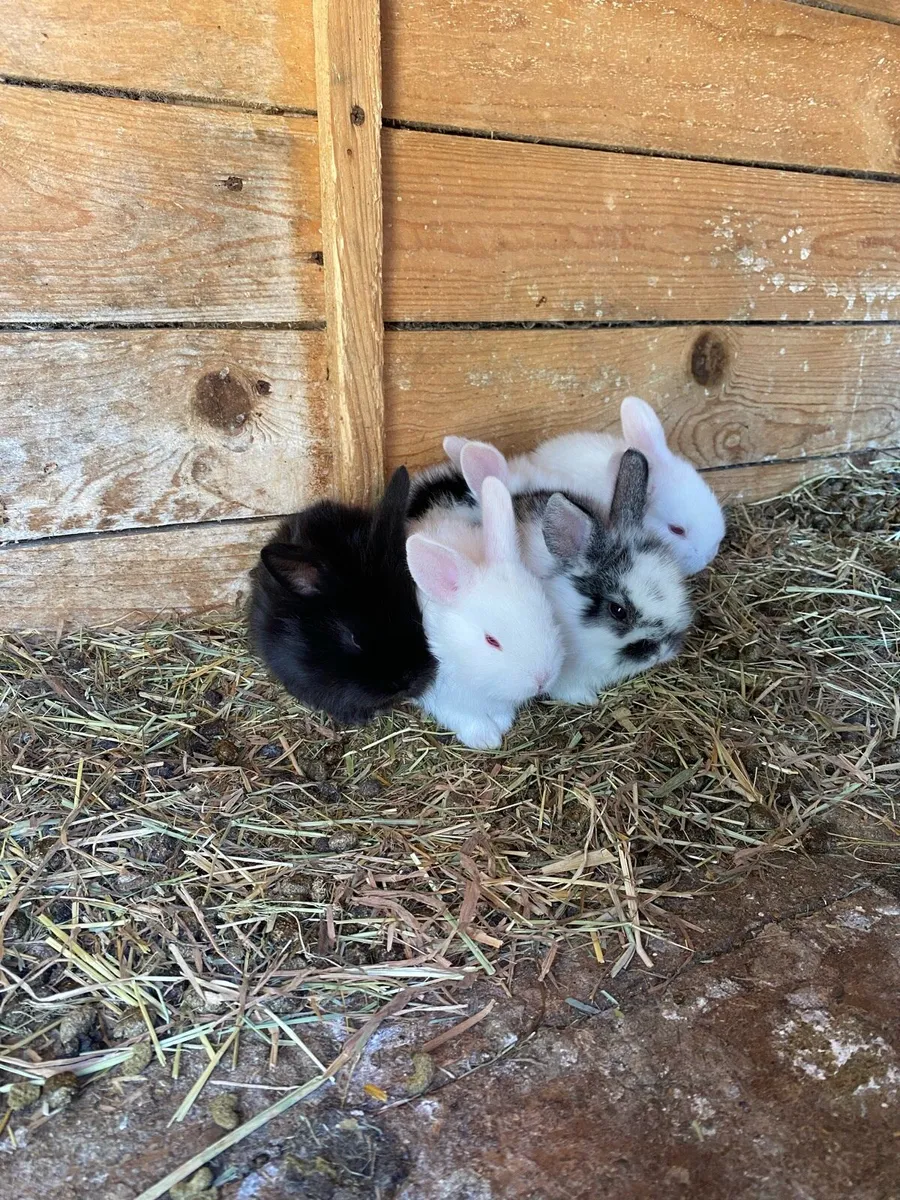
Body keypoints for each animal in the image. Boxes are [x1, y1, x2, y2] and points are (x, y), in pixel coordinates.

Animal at [406, 475, 564, 749]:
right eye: (491, 641)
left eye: (548, 613)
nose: (542, 679)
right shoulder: (444, 696)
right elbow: (465, 717)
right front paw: (486, 739)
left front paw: (503, 723)